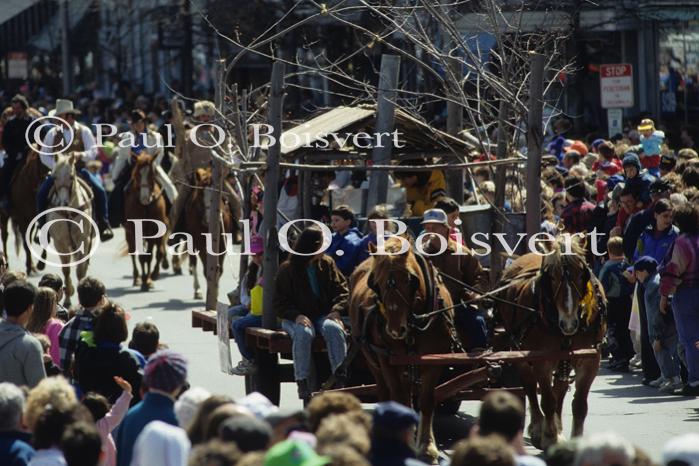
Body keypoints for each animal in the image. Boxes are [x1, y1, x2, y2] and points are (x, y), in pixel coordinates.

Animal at [123, 155, 169, 290]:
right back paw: (137, 278)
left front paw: (150, 279)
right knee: (133, 253)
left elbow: (153, 255)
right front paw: (144, 280)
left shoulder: (154, 232)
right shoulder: (136, 232)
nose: (144, 198)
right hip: (129, 234)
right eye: (137, 174)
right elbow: (142, 256)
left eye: (152, 175)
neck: (146, 207)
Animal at [180, 167, 232, 298]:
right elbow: (206, 269)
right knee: (193, 262)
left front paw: (216, 291)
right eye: (199, 195)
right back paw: (197, 289)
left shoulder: (222, 244)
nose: (209, 220)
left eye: (220, 195)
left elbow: (219, 269)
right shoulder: (200, 244)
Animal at [350, 237, 460, 462]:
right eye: (376, 282)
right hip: (372, 358)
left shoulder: (433, 360)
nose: (395, 330)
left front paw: (427, 448)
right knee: (387, 392)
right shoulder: (387, 359)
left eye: (410, 279)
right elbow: (399, 399)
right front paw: (406, 443)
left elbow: (426, 401)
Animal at [498, 237, 608, 452]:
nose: (569, 323)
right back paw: (538, 428)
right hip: (520, 353)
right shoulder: (542, 359)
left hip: (564, 359)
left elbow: (579, 404)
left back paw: (558, 429)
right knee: (531, 388)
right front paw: (548, 437)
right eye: (554, 277)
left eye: (581, 273)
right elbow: (547, 401)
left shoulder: (590, 359)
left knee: (560, 389)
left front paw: (572, 441)